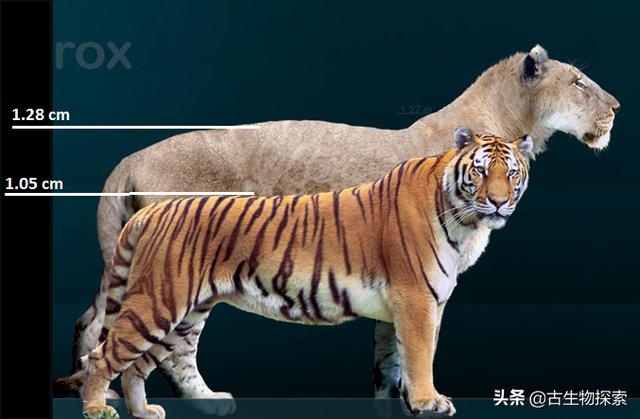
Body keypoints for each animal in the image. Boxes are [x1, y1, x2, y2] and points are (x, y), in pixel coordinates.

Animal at [78, 127, 533, 419]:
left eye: (512, 172)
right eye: (479, 170)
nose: (498, 202)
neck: (460, 218)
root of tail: (154, 211)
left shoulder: (411, 304)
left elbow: (395, 358)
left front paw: (398, 401)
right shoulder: (416, 298)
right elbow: (421, 355)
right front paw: (429, 402)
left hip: (184, 313)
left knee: (145, 363)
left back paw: (148, 410)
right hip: (159, 302)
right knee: (103, 355)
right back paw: (98, 408)